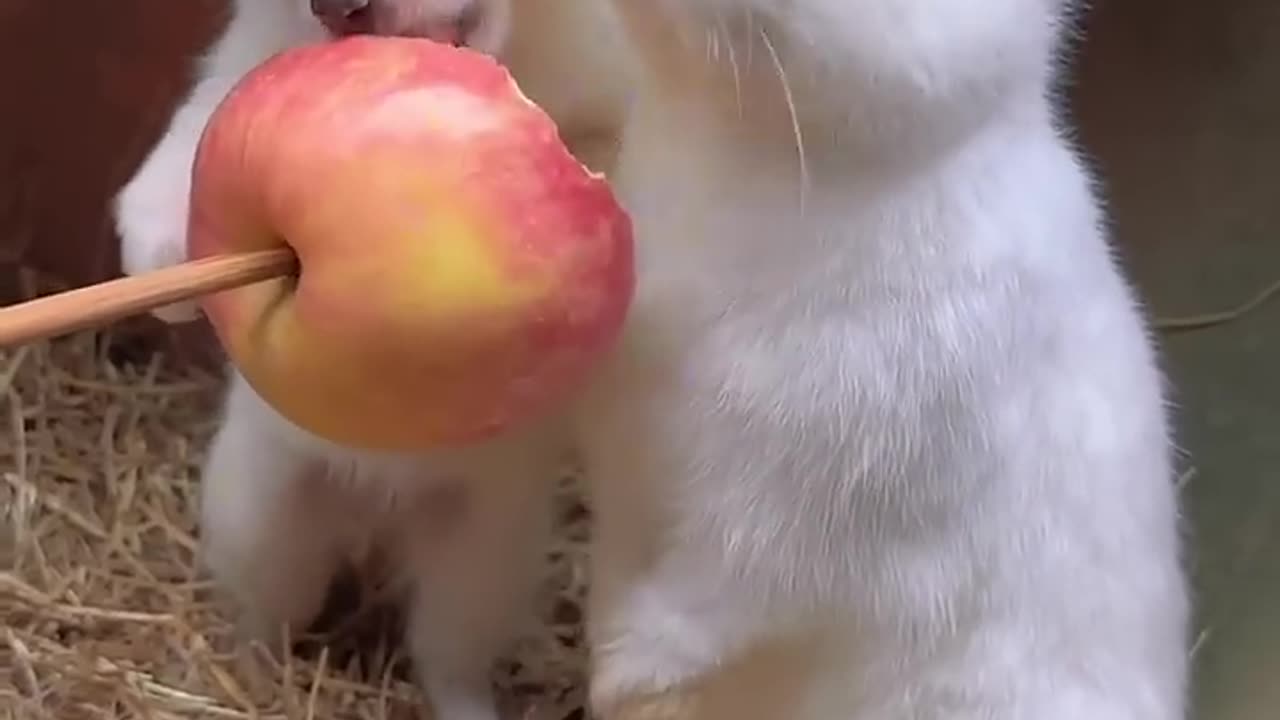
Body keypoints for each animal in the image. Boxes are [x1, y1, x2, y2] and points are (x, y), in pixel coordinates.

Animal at [117, 1, 637, 717]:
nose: (337, 9)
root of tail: (377, 522)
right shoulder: (227, 80)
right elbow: (175, 165)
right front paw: (167, 278)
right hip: (260, 516)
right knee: (264, 619)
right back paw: (240, 680)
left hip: (482, 562)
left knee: (448, 658)